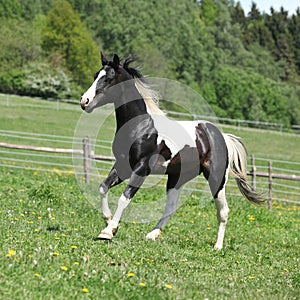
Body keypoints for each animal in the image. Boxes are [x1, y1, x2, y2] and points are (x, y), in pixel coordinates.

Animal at [79, 52, 262, 250]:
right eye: (96, 75)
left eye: (109, 78)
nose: (84, 101)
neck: (142, 126)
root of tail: (222, 136)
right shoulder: (122, 166)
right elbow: (103, 188)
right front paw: (109, 222)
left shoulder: (141, 169)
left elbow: (124, 198)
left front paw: (108, 231)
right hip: (177, 178)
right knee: (171, 207)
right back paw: (152, 234)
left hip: (216, 178)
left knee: (223, 211)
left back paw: (217, 246)